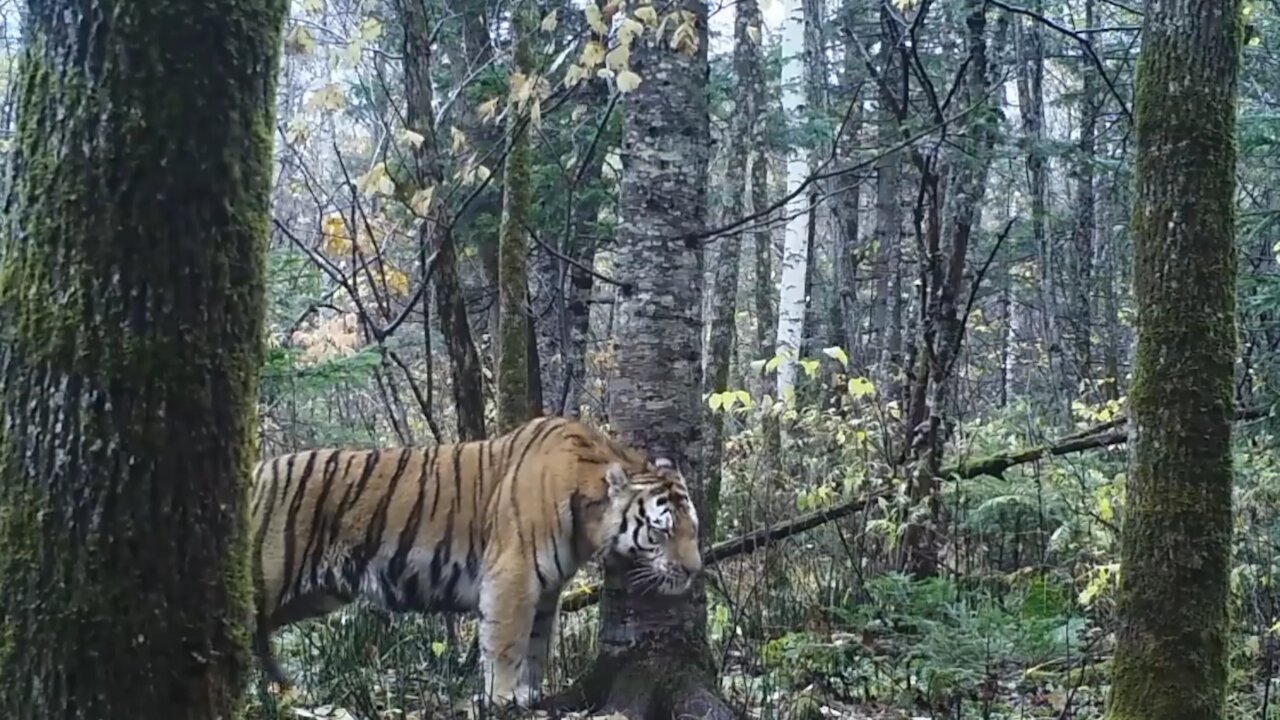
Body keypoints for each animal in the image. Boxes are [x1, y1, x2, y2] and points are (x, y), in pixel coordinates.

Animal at [244, 412, 706, 702]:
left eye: (693, 530)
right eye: (662, 530)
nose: (694, 570)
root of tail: (255, 471)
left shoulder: (546, 590)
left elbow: (537, 642)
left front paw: (528, 694)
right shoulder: (513, 575)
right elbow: (506, 641)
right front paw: (501, 697)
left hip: (312, 596)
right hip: (266, 578)